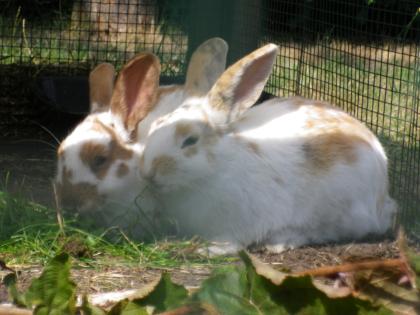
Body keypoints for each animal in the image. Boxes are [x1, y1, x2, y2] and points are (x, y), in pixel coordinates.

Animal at [139, 43, 398, 256]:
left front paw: (208, 250)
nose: (148, 173)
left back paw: (280, 242)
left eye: (190, 141)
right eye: (155, 126)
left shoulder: (238, 224)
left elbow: (231, 242)